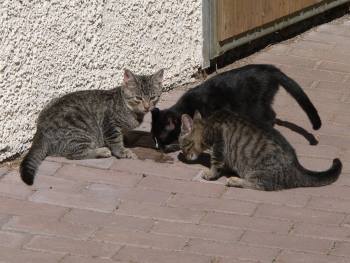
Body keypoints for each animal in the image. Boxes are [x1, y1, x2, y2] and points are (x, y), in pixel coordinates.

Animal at [20, 69, 164, 187]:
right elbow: (116, 142)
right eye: (138, 98)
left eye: (153, 97)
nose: (147, 107)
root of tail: (39, 131)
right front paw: (123, 151)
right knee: (74, 154)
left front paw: (125, 140)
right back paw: (102, 151)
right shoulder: (110, 125)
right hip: (81, 132)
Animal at [152, 64, 322, 151]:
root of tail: (272, 69)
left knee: (270, 116)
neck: (186, 107)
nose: (158, 147)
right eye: (154, 139)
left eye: (162, 138)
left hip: (255, 105)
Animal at [180, 110, 342, 191]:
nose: (184, 156)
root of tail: (296, 167)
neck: (207, 124)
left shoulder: (218, 143)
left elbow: (215, 162)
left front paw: (210, 174)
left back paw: (235, 181)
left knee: (258, 185)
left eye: (182, 145)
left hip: (258, 172)